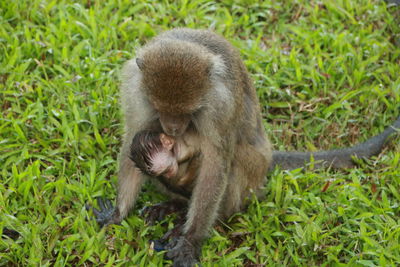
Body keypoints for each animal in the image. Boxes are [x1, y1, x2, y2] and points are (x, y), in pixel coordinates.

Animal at [88, 28, 400, 266]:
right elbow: (133, 140)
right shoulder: (135, 89)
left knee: (235, 158)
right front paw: (118, 213)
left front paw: (191, 241)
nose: (173, 129)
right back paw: (175, 204)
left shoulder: (219, 102)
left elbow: (217, 161)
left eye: (188, 111)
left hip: (253, 172)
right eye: (160, 107)